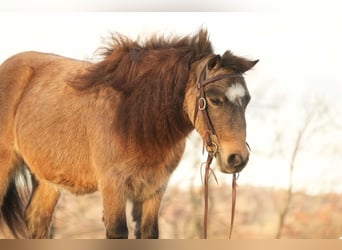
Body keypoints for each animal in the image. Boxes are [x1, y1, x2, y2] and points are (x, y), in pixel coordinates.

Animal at [0, 29, 256, 238]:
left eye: (246, 100)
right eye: (215, 99)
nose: (237, 159)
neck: (134, 118)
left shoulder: (154, 189)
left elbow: (149, 232)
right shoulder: (113, 186)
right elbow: (118, 232)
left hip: (48, 180)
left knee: (37, 220)